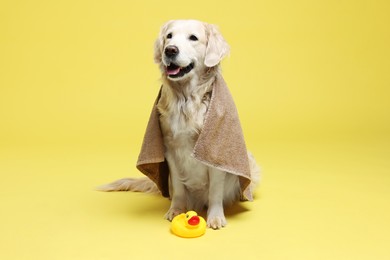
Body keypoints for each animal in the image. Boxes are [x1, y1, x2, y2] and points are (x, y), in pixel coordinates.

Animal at [100, 19, 258, 229]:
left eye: (193, 38)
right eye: (169, 36)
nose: (170, 50)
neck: (186, 100)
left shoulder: (214, 152)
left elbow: (215, 190)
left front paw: (216, 217)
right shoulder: (169, 149)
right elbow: (178, 187)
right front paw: (176, 210)